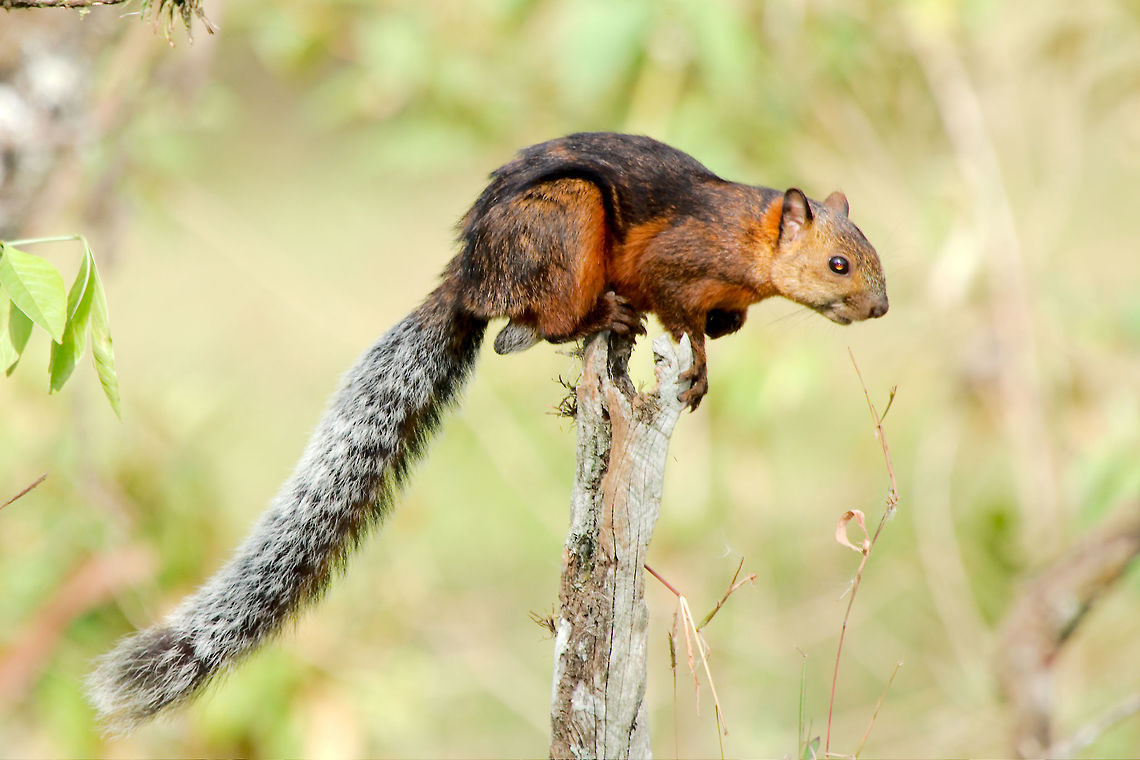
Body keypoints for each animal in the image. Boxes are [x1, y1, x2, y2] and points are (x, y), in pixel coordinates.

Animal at [88, 132, 888, 731]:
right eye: (837, 263)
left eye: (870, 256)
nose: (880, 308)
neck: (745, 237)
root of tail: (468, 277)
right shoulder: (675, 260)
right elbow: (681, 314)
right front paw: (695, 364)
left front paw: (720, 335)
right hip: (564, 223)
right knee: (529, 329)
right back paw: (604, 314)